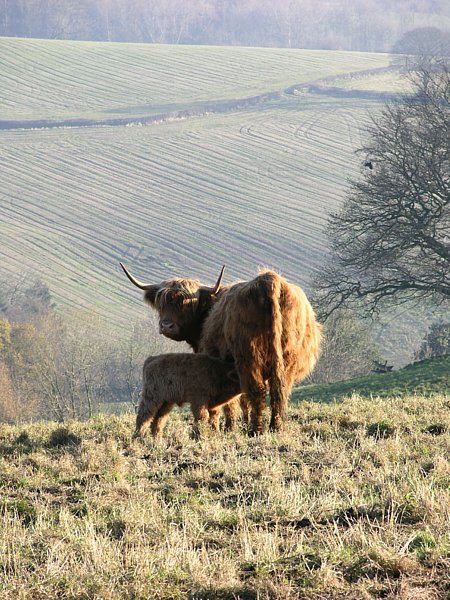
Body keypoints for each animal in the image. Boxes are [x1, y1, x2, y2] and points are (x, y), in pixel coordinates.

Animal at [121, 264, 322, 434]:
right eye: (161, 303)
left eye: (186, 303)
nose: (166, 325)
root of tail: (268, 280)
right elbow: (240, 400)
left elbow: (228, 403)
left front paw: (223, 428)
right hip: (287, 360)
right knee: (279, 391)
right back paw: (275, 428)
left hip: (248, 357)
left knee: (256, 391)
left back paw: (256, 430)